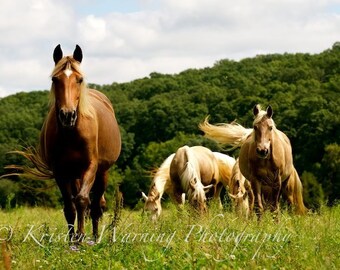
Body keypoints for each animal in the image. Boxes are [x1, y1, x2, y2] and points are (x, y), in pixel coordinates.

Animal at [7, 45, 121, 242]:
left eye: (79, 79)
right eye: (55, 79)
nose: (68, 115)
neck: (71, 133)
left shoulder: (90, 166)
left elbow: (83, 200)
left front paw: (81, 237)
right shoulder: (60, 171)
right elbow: (70, 207)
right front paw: (72, 239)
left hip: (102, 172)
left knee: (97, 206)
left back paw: (95, 237)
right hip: (74, 175)